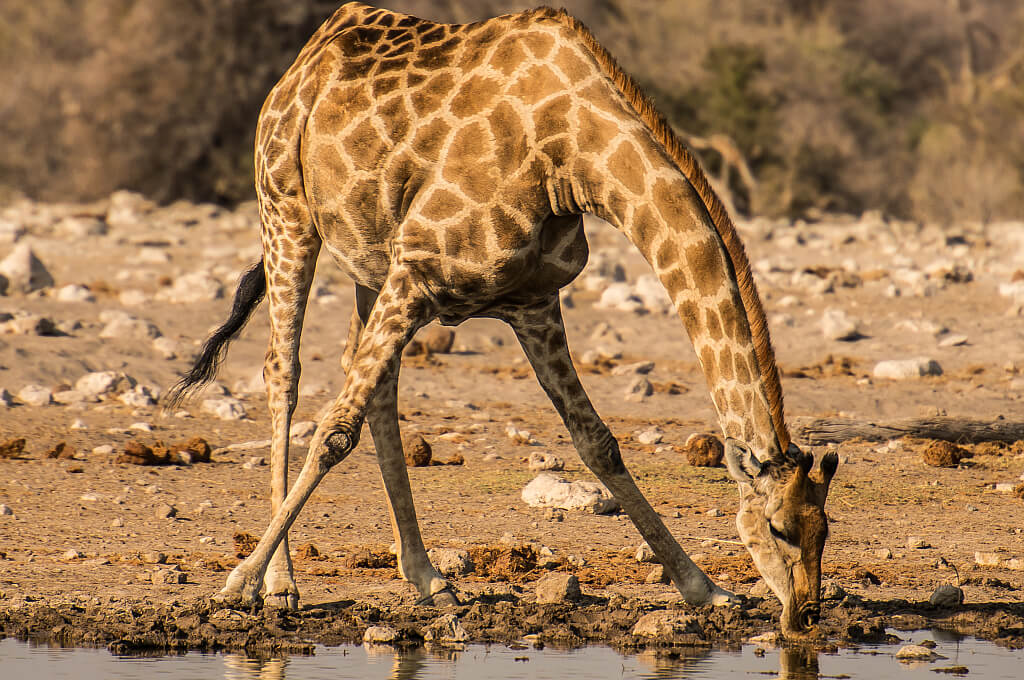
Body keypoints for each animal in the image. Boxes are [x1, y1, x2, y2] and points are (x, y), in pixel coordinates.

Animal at [167, 2, 838, 638]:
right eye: (779, 528)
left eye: (825, 529)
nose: (804, 615)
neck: (573, 158)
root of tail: (302, 62)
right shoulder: (418, 271)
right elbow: (334, 431)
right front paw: (241, 581)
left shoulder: (531, 302)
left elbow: (598, 442)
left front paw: (706, 588)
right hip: (286, 212)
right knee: (284, 373)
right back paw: (281, 583)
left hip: (370, 263)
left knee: (379, 390)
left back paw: (427, 577)